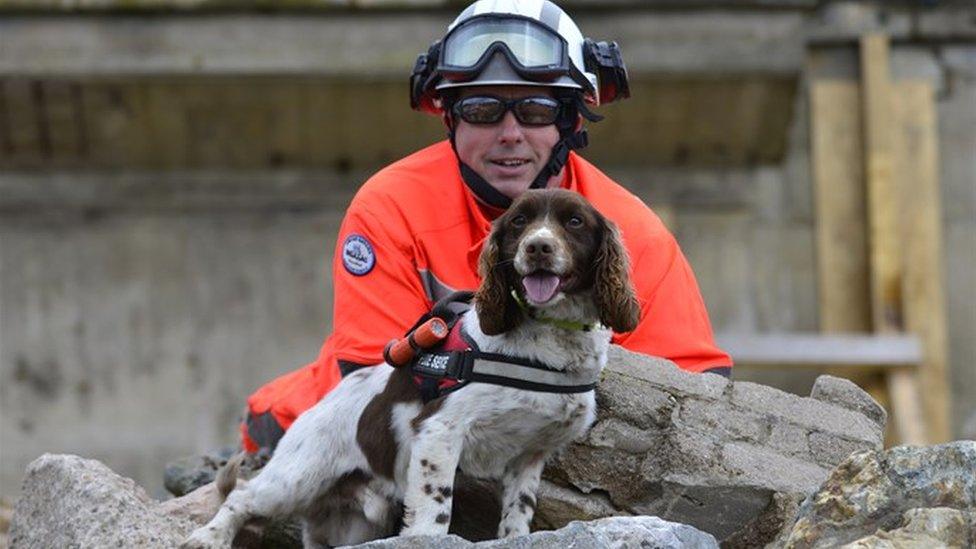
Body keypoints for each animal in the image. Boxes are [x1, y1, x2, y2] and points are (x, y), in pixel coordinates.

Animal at [182, 188, 640, 548]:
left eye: (575, 221)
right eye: (519, 222)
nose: (537, 248)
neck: (548, 341)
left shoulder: (530, 455)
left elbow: (517, 517)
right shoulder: (440, 432)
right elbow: (434, 512)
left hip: (355, 523)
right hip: (297, 475)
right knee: (241, 496)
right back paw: (206, 538)